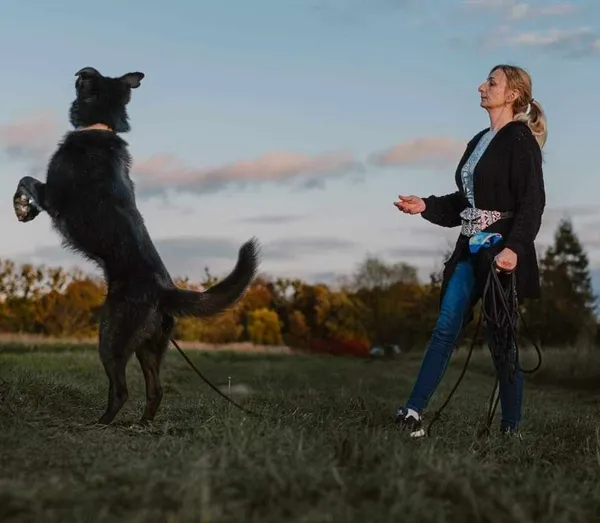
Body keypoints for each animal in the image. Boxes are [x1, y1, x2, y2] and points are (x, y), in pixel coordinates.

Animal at [12, 66, 260, 426]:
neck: (101, 127)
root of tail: (165, 291)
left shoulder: (52, 194)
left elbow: (26, 180)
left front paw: (22, 208)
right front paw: (26, 210)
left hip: (111, 336)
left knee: (121, 390)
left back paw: (100, 424)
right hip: (150, 347)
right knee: (156, 391)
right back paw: (142, 426)